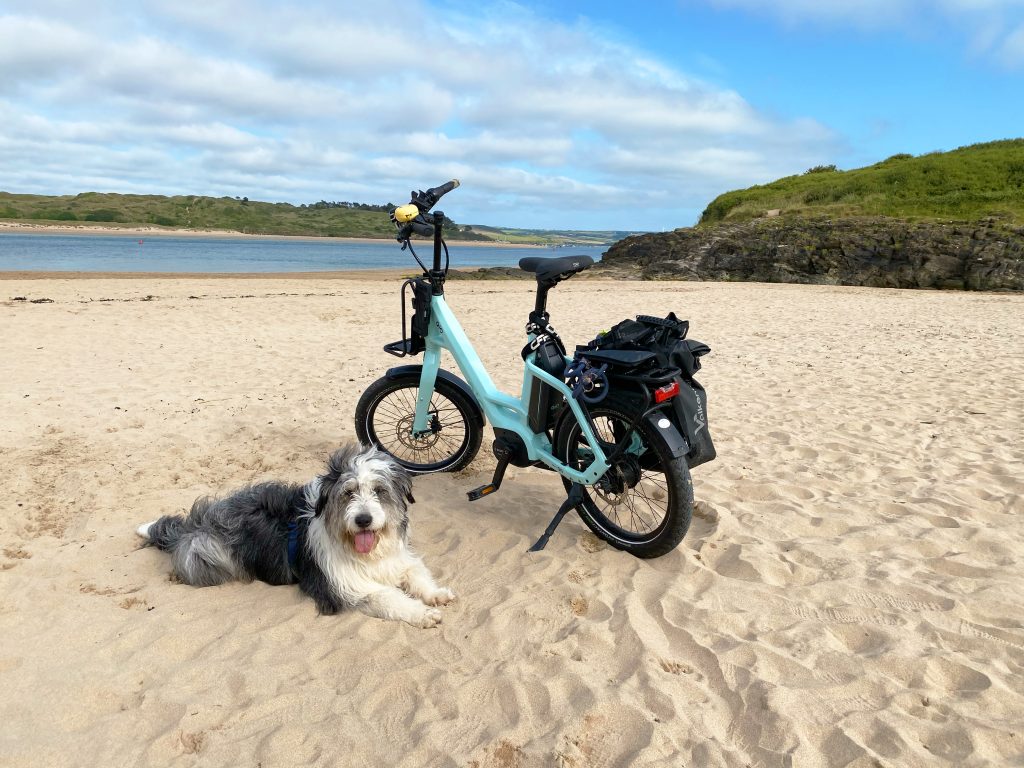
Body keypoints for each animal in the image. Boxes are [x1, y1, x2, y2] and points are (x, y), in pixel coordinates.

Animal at [134, 444, 454, 630]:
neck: (365, 553)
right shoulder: (344, 586)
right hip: (210, 549)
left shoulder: (398, 560)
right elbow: (389, 597)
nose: (363, 519)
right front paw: (422, 613)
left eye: (379, 490)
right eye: (348, 493)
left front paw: (436, 594)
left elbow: (417, 573)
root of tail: (194, 523)